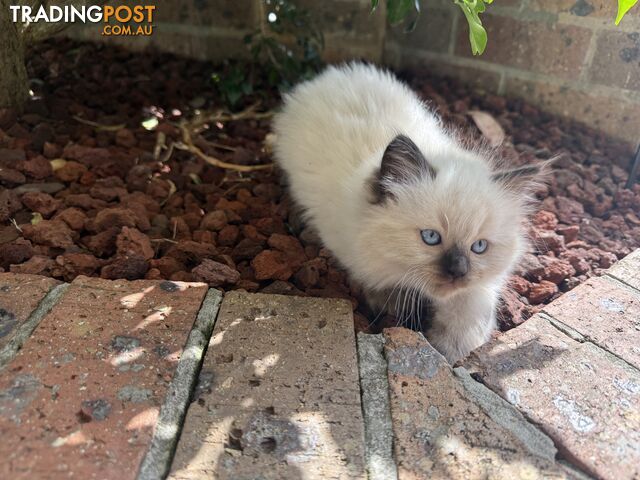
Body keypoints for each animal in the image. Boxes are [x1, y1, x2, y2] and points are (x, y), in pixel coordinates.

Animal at [274, 63, 544, 364]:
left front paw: (452, 352)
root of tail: (332, 73)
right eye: (430, 237)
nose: (458, 271)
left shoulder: (477, 289)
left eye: (479, 247)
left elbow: (469, 310)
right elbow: (381, 282)